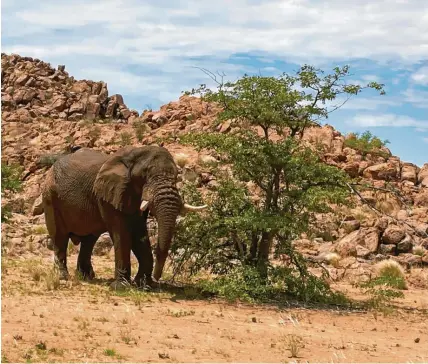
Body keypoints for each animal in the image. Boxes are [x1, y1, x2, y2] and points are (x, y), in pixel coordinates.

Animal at [34, 145, 206, 290]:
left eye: (177, 176)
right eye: (144, 175)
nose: (157, 278)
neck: (132, 155)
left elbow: (139, 234)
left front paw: (144, 285)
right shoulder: (107, 195)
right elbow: (122, 234)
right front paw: (121, 287)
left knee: (89, 239)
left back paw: (87, 277)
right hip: (50, 196)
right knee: (60, 236)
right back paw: (63, 277)